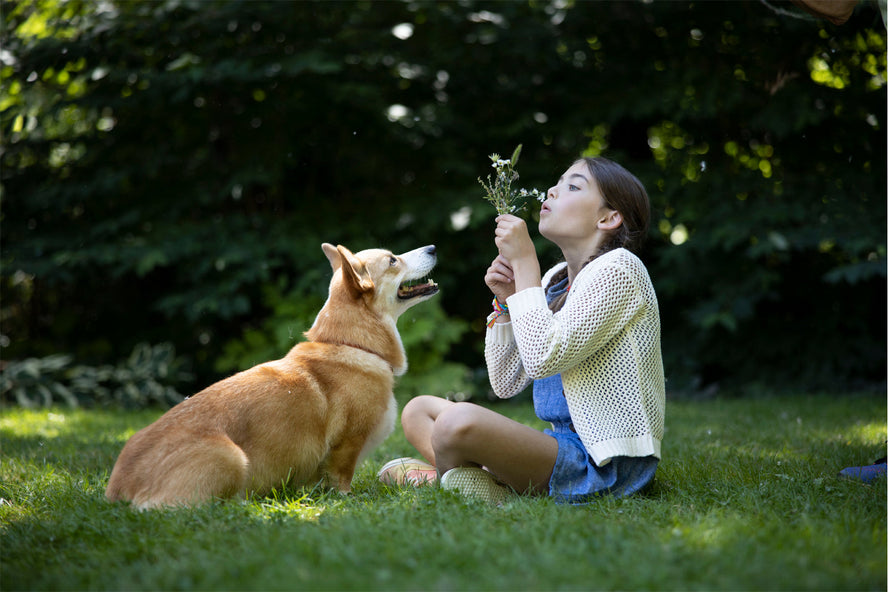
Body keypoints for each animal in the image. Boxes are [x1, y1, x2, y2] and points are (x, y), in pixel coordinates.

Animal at [106, 243, 438, 512]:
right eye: (393, 260)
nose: (433, 247)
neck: (352, 343)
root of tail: (119, 489)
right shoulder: (347, 445)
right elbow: (341, 478)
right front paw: (347, 499)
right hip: (231, 457)